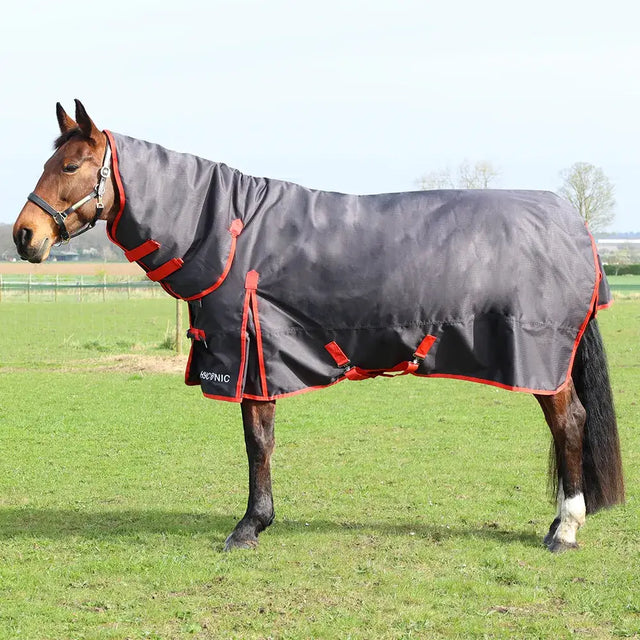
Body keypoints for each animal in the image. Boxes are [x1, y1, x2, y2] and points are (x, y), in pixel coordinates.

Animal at [13, 100, 624, 552]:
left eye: (70, 166)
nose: (24, 235)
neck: (232, 233)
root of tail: (575, 223)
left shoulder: (252, 357)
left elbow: (257, 442)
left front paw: (249, 526)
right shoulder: (259, 359)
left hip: (543, 359)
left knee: (570, 423)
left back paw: (565, 529)